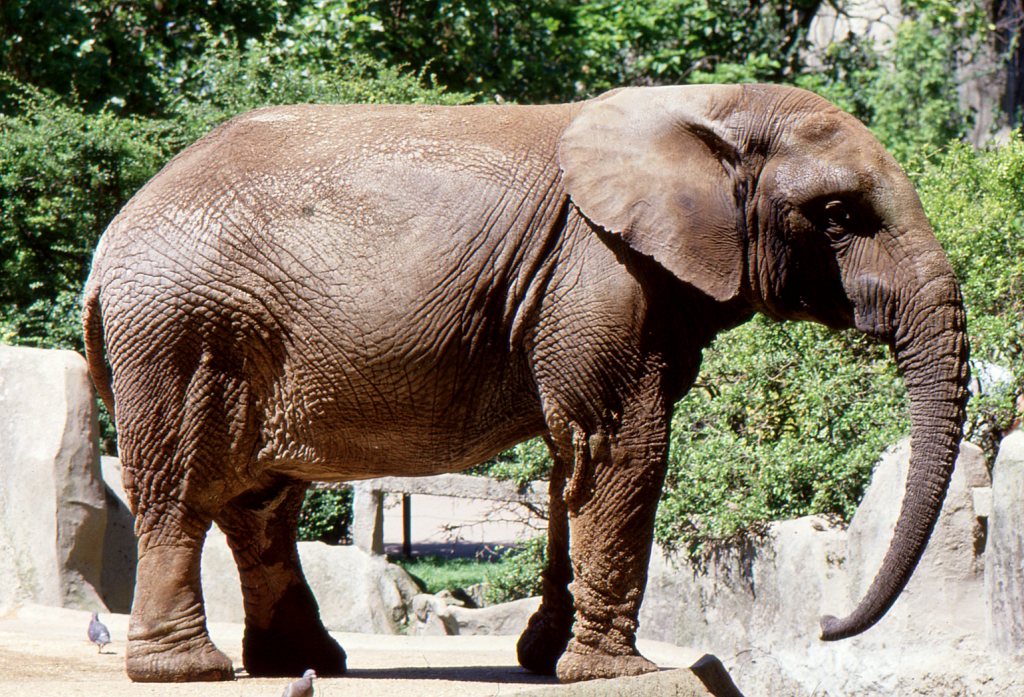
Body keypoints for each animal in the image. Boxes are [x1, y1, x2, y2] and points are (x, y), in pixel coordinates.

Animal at [82, 84, 969, 683]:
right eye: (840, 216)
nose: (826, 622)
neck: (709, 105)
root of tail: (111, 239)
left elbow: (570, 456)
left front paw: (545, 658)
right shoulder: (597, 268)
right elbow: (622, 445)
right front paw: (617, 673)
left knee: (259, 501)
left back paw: (303, 662)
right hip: (182, 332)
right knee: (186, 487)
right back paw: (188, 670)